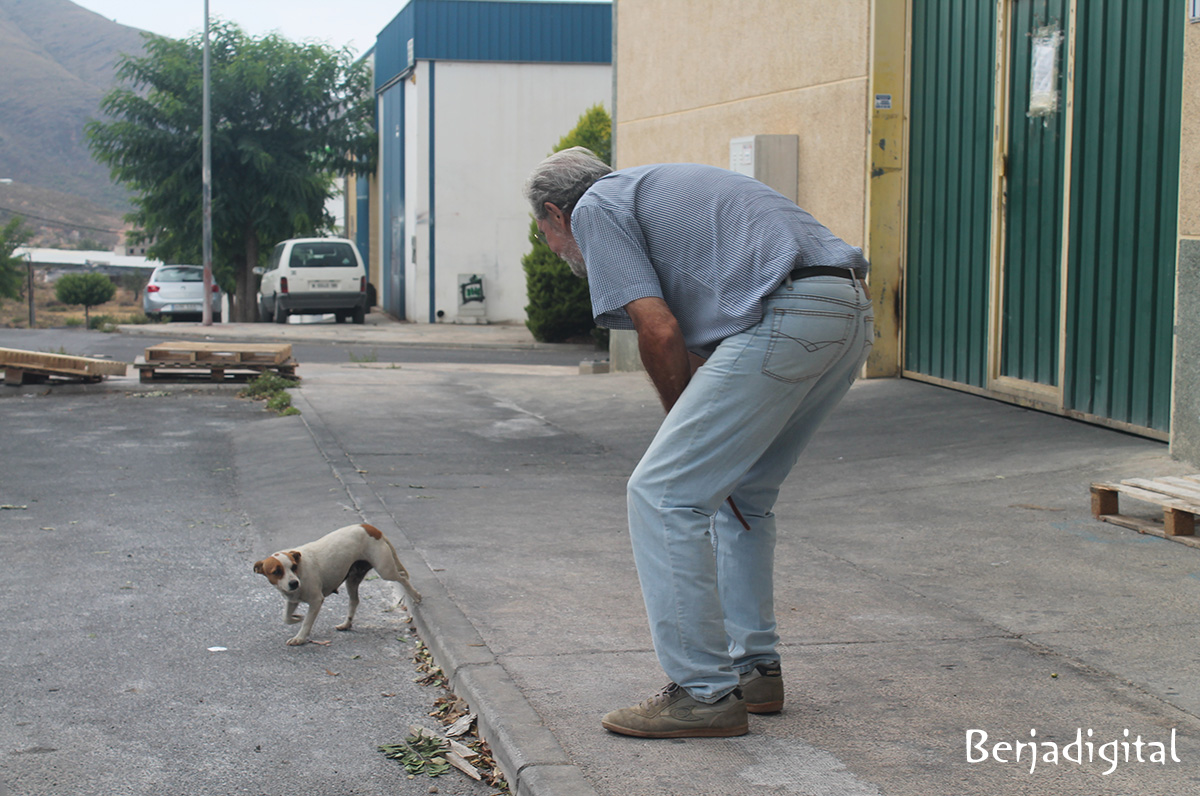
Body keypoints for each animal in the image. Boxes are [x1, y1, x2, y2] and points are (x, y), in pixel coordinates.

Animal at [253, 523, 422, 648]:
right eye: (276, 571)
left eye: (293, 567)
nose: (294, 583)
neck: (300, 572)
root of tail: (369, 526)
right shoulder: (292, 599)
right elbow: (286, 617)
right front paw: (296, 618)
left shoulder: (316, 601)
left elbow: (307, 623)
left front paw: (300, 637)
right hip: (352, 579)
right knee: (354, 601)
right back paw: (346, 624)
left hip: (385, 570)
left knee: (402, 578)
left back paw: (416, 596)